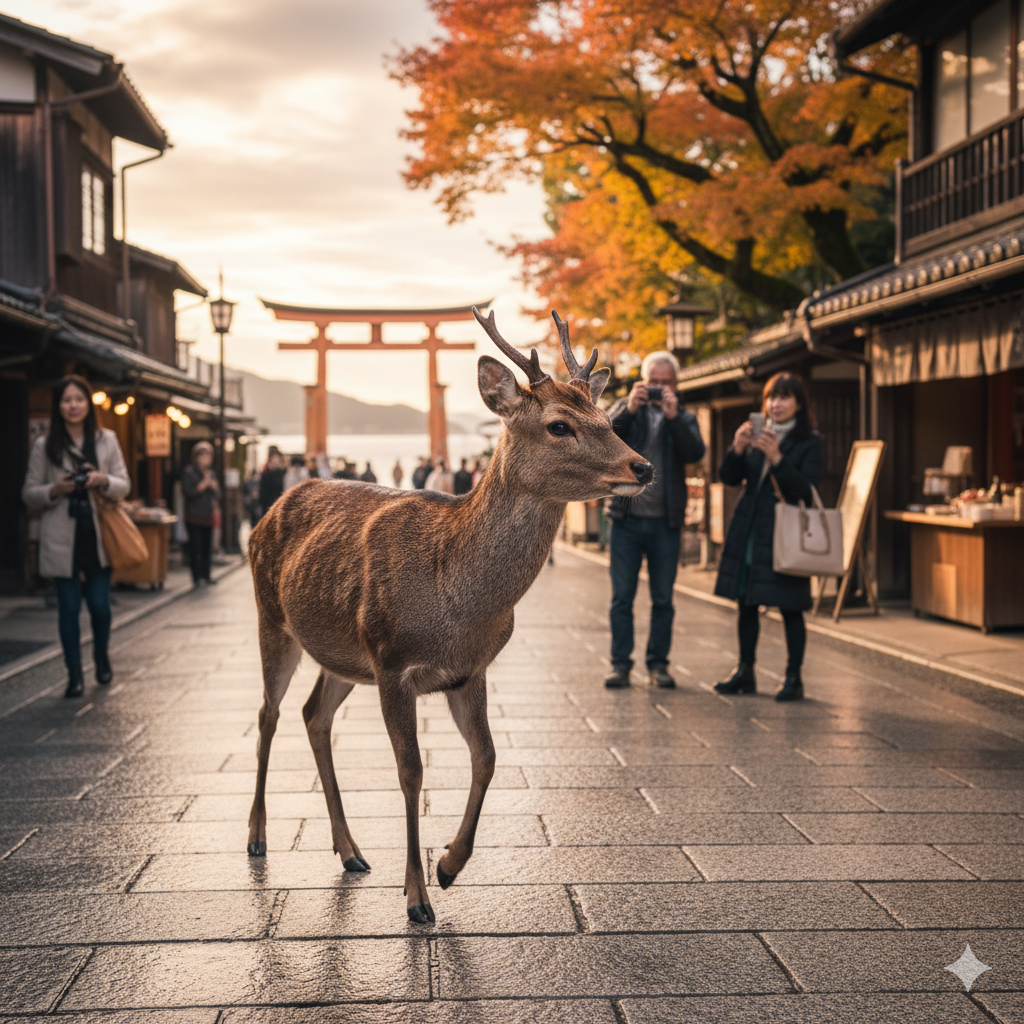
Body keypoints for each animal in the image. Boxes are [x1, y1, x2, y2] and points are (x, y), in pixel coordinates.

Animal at [245, 308, 652, 923]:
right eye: (559, 425)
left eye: (606, 417)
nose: (644, 466)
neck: (458, 604)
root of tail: (266, 513)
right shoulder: (393, 662)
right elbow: (411, 771)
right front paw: (416, 898)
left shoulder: (469, 670)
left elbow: (486, 758)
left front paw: (449, 866)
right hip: (274, 618)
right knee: (268, 714)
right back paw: (257, 837)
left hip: (343, 656)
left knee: (313, 714)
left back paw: (351, 850)